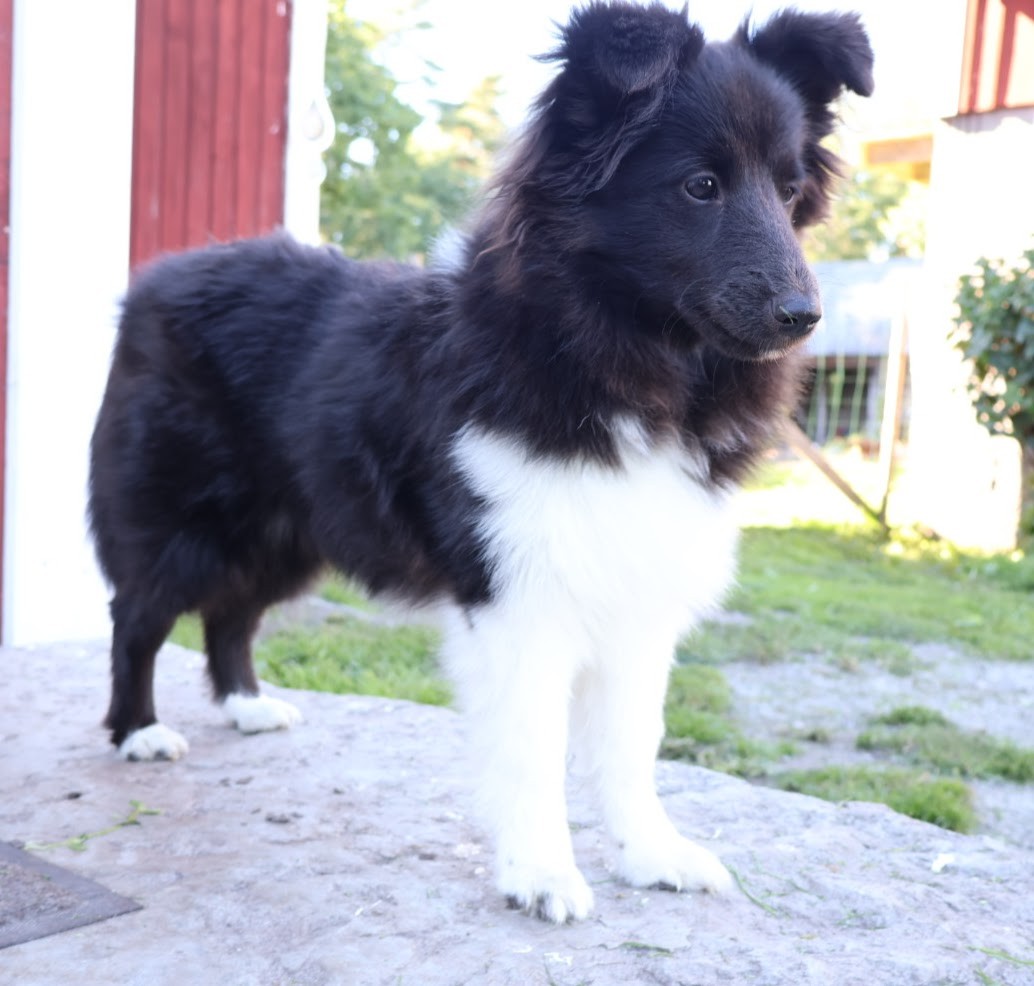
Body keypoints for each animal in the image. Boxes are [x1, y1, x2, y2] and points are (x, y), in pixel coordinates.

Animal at [90, 1, 872, 921]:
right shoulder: (518, 592)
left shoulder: (638, 591)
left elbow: (630, 745)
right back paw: (138, 730)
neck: (616, 355)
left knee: (233, 614)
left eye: (789, 191)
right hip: (181, 523)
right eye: (700, 187)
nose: (804, 315)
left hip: (290, 528)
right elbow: (532, 747)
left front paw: (651, 855)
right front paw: (541, 873)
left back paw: (246, 706)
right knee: (137, 617)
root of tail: (154, 281)